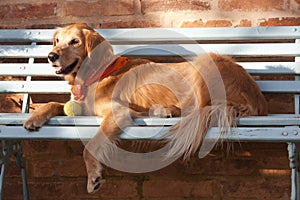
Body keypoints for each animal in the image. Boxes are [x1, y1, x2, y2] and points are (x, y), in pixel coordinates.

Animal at [22, 23, 268, 194]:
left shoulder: (119, 112)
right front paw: (34, 117)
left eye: (74, 42)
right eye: (56, 40)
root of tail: (257, 99)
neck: (97, 74)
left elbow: (89, 146)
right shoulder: (83, 108)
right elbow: (53, 103)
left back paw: (163, 110)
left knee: (196, 108)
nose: (51, 56)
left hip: (203, 63)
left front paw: (93, 177)